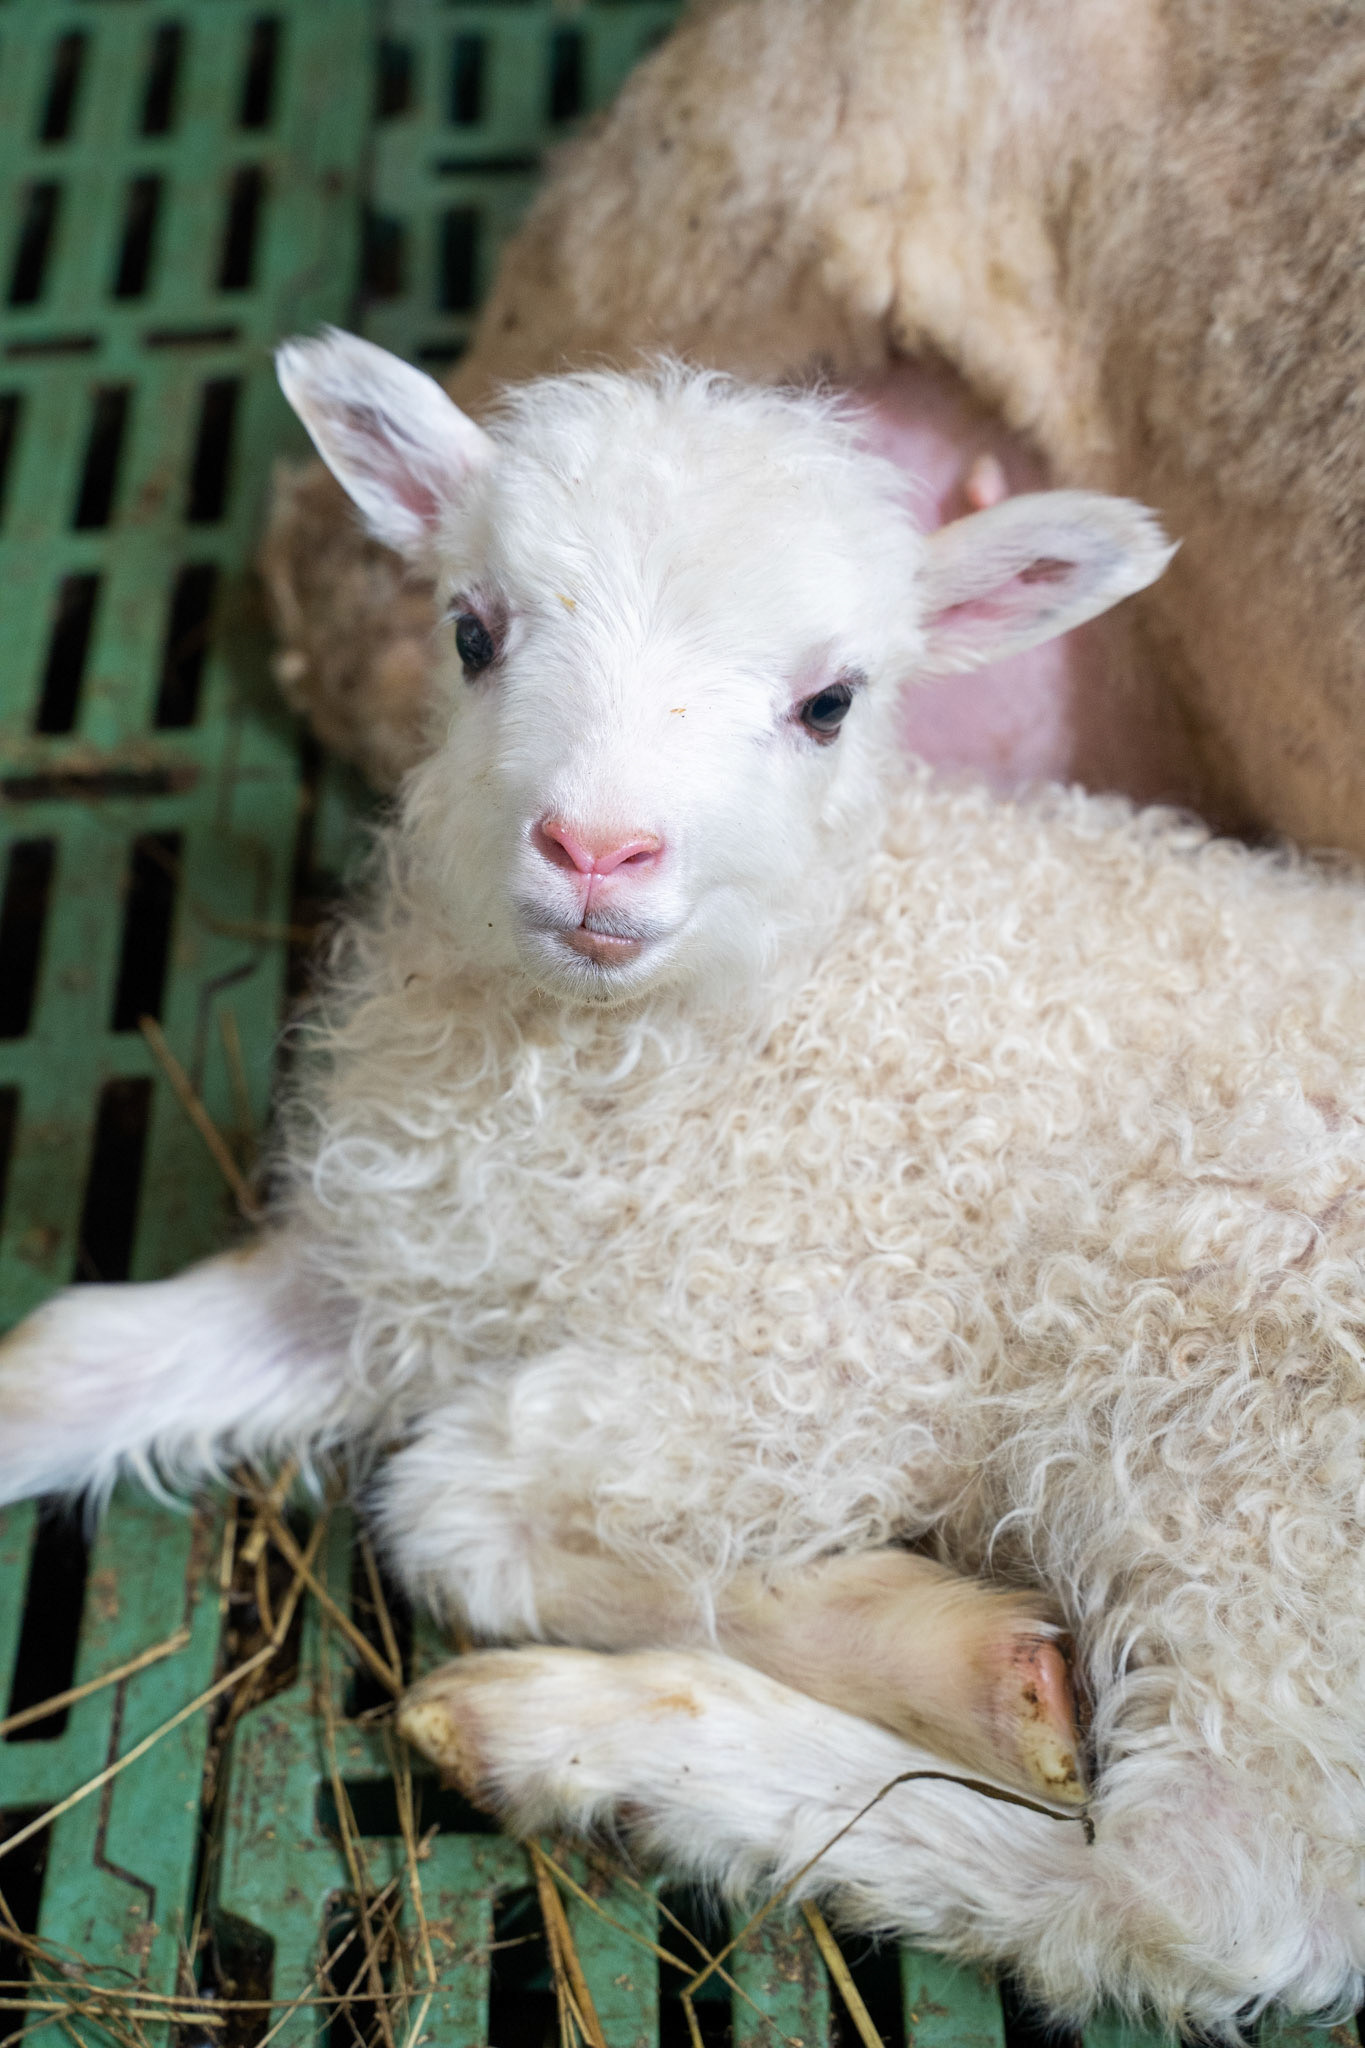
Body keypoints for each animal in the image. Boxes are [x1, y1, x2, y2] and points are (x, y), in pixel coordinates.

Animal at [5, 331, 1365, 2033]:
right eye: (472, 630)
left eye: (831, 702)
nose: (597, 849)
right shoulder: (400, 1262)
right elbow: (70, 1360)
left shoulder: (823, 1352)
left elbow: (443, 1502)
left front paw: (938, 1650)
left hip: (1227, 1431)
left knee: (1213, 1895)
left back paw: (584, 1742)